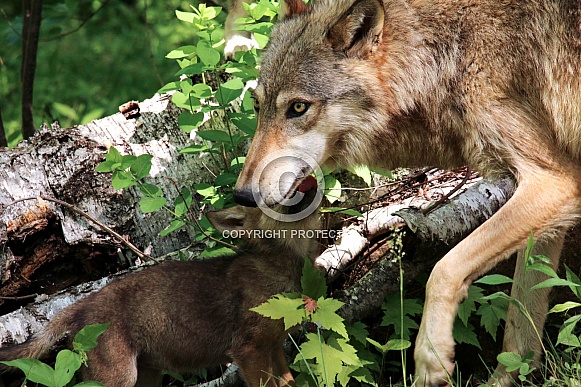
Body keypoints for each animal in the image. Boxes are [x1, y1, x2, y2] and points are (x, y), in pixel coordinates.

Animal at [0, 182, 318, 387]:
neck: (281, 270)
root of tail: (78, 306)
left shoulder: (275, 346)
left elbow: (290, 383)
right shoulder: (249, 349)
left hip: (145, 376)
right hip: (117, 377)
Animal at [233, 0, 580, 386]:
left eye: (297, 107)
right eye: (257, 106)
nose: (243, 195)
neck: (446, 56)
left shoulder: (553, 182)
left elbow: (443, 271)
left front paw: (431, 359)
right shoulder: (557, 189)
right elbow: (520, 335)